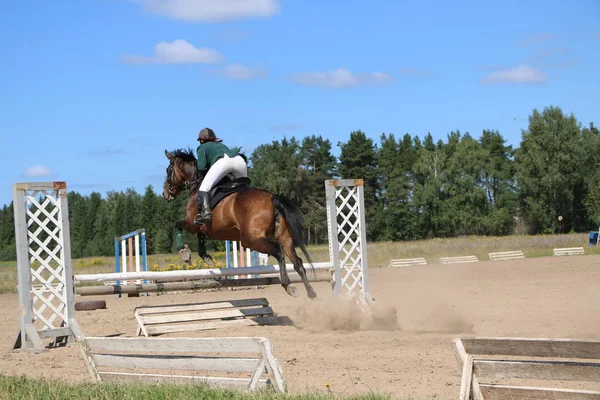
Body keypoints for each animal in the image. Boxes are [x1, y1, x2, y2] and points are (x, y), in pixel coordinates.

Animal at [159, 148, 318, 298]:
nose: (165, 194)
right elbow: (201, 238)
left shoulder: (191, 223)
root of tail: (273, 198)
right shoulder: (203, 228)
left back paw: (288, 285)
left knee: (279, 251)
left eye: (168, 170)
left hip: (250, 240)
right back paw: (310, 292)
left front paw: (182, 249)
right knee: (297, 261)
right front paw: (206, 257)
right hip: (283, 236)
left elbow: (178, 225)